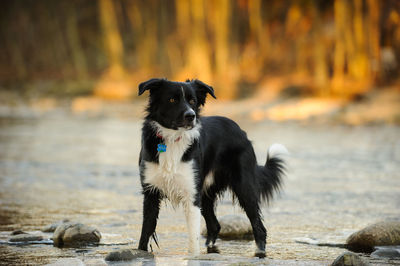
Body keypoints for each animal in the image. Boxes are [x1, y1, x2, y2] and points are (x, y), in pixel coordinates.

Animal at [138, 78, 288, 258]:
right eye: (172, 99)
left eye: (192, 101)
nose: (191, 116)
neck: (172, 139)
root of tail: (240, 130)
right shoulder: (151, 193)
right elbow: (146, 230)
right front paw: (140, 252)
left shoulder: (191, 195)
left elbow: (192, 237)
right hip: (206, 193)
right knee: (215, 225)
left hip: (244, 188)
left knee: (259, 227)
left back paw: (259, 252)